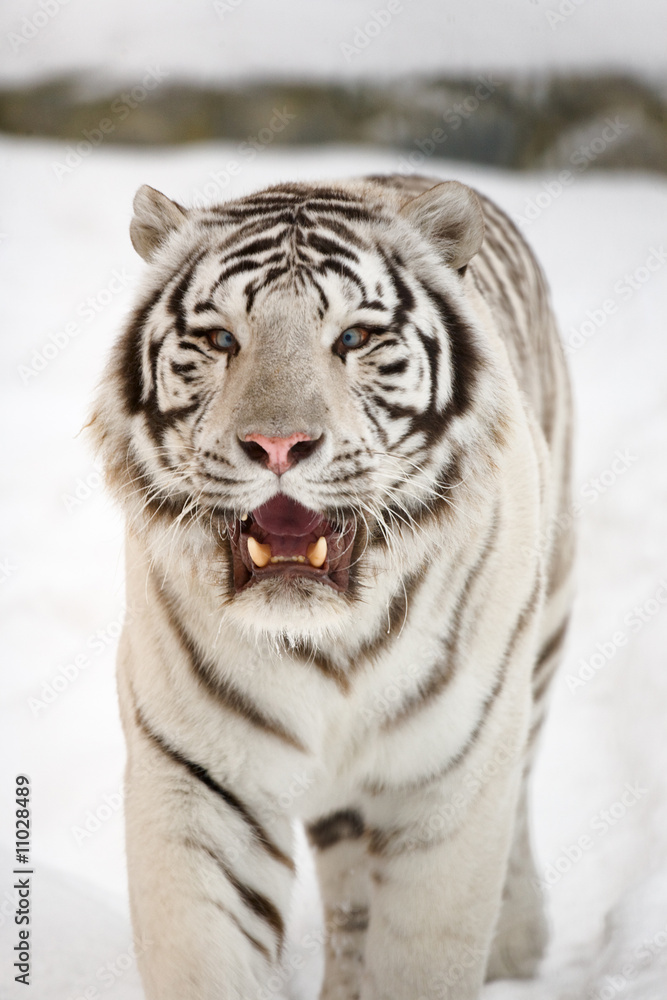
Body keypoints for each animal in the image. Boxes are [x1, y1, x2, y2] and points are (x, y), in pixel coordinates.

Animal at [90, 172, 573, 1000]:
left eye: (352, 339)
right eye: (221, 340)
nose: (278, 444)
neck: (330, 646)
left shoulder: (449, 782)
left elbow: (426, 956)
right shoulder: (198, 779)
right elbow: (208, 957)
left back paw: (519, 946)